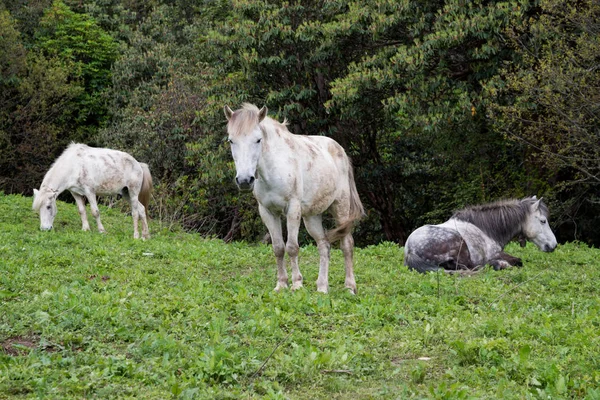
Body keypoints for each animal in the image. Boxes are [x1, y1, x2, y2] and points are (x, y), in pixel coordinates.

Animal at [225, 102, 366, 294]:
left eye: (258, 140)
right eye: (231, 140)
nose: (245, 180)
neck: (274, 168)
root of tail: (340, 150)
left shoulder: (292, 209)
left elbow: (292, 247)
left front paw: (296, 284)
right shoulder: (267, 212)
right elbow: (278, 248)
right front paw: (281, 284)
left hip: (341, 208)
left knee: (347, 244)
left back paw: (350, 287)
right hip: (312, 217)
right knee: (324, 246)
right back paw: (322, 287)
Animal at [404, 196, 556, 272]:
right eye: (543, 221)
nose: (554, 245)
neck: (487, 229)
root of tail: (410, 249)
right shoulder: (495, 254)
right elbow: (518, 260)